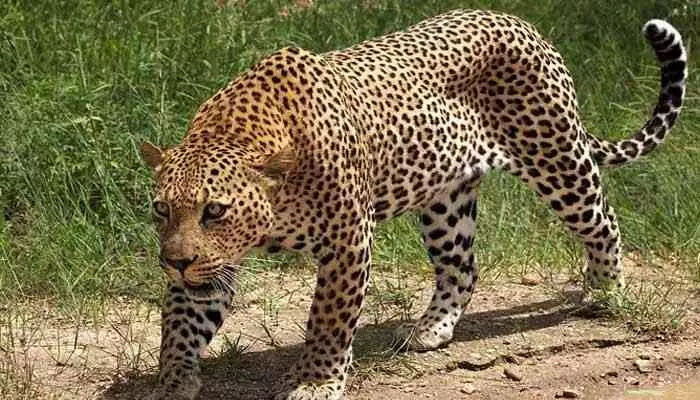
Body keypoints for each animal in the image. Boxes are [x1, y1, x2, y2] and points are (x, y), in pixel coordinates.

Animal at [140, 9, 687, 400]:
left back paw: (605, 291)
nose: (174, 261)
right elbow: (181, 321)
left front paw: (317, 381)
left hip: (557, 161)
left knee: (604, 221)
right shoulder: (211, 264)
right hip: (445, 201)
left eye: (215, 210)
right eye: (161, 209)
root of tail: (524, 23)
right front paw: (173, 380)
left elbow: (329, 319)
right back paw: (431, 330)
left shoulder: (348, 239)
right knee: (462, 268)